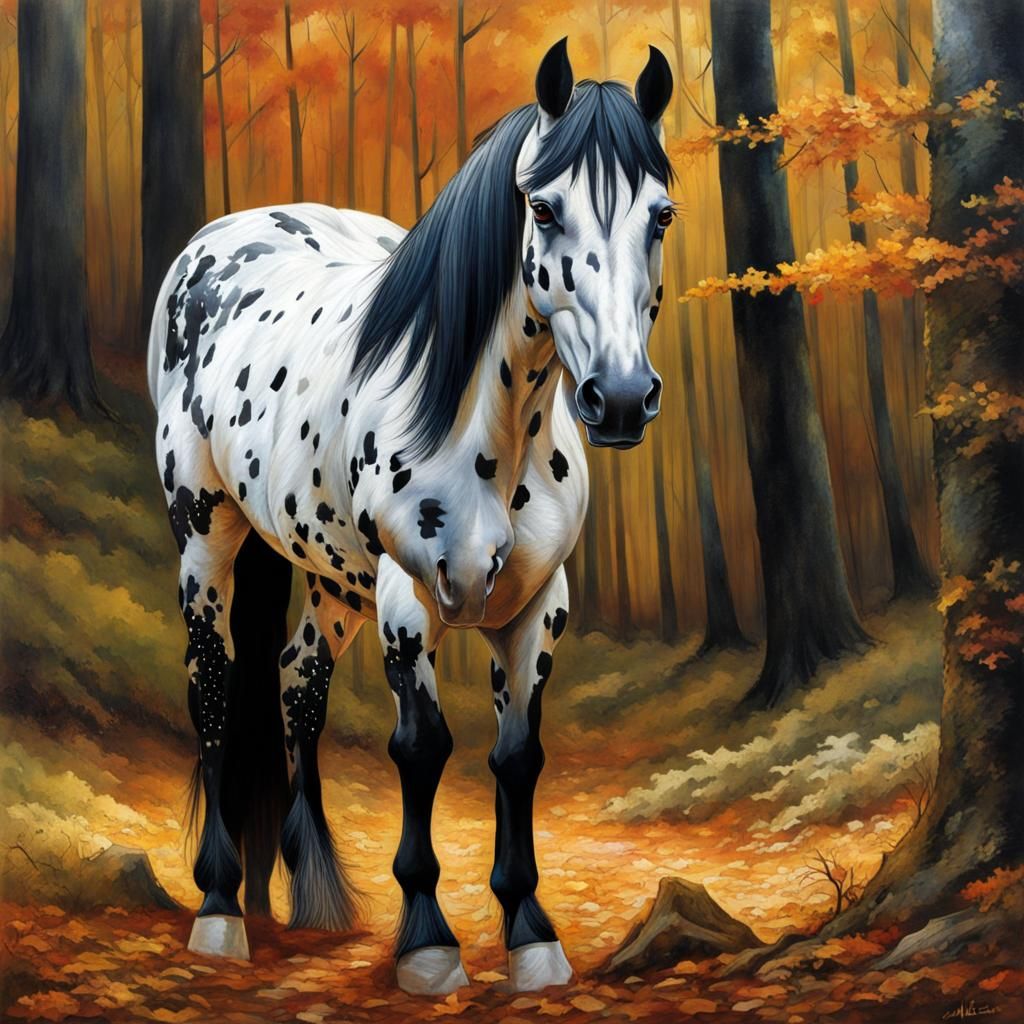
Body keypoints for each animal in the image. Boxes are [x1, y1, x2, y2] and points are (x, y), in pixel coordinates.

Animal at [148, 38, 674, 995]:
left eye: (660, 214)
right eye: (543, 206)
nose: (618, 399)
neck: (488, 429)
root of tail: (220, 239)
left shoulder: (539, 607)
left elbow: (518, 757)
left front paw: (531, 933)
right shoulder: (407, 599)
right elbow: (423, 748)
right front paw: (428, 943)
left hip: (331, 576)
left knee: (296, 682)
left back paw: (310, 897)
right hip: (207, 540)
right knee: (213, 688)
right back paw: (219, 909)